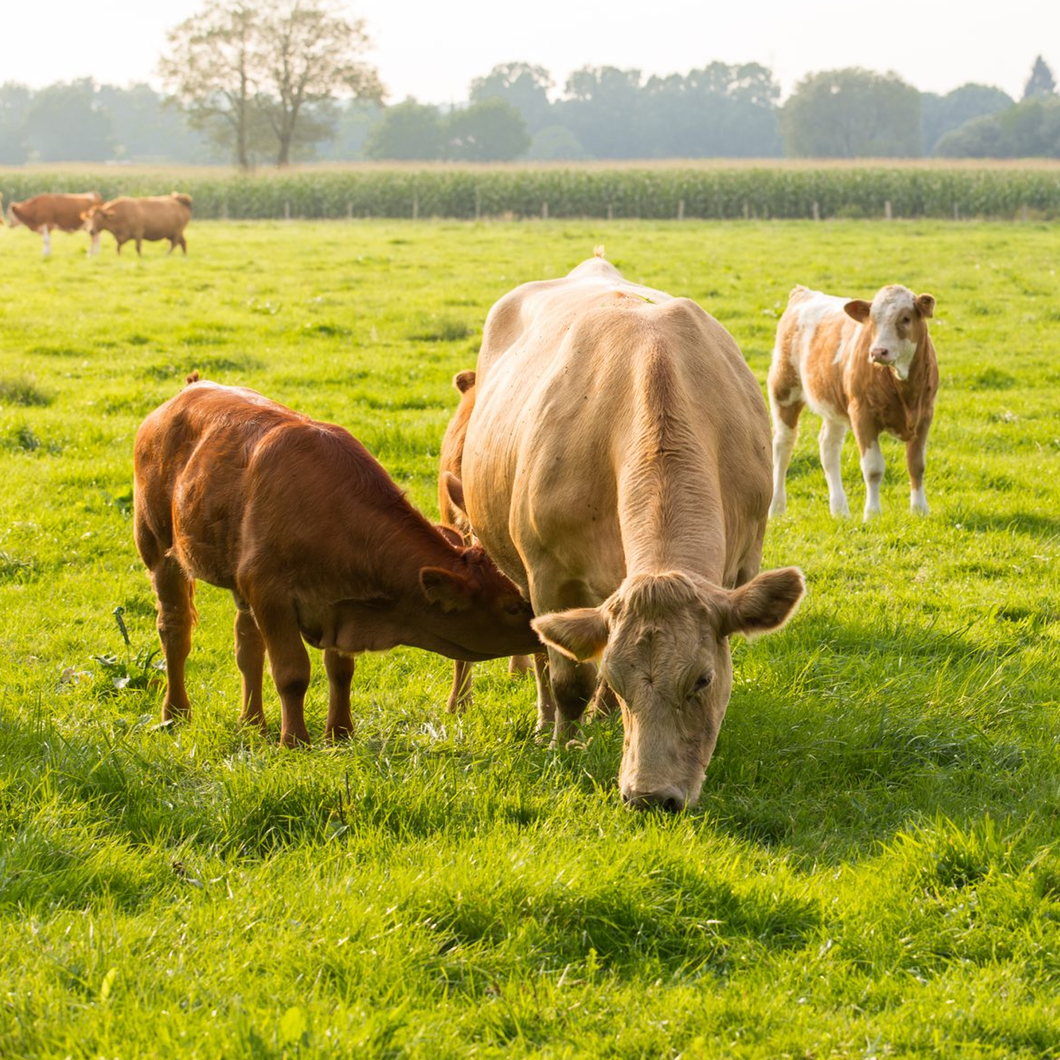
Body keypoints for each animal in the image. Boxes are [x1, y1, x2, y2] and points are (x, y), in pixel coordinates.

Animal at [133, 375, 542, 746]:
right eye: (511, 606)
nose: (541, 632)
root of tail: (189, 389)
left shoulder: (335, 600)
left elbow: (341, 669)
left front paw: (340, 733)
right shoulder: (271, 594)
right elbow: (292, 673)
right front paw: (294, 741)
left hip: (239, 580)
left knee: (247, 645)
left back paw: (253, 723)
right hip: (159, 551)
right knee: (175, 630)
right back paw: (175, 713)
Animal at [455, 254, 801, 809]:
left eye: (702, 680)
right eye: (622, 682)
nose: (650, 797)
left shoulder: (739, 567)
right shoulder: (550, 576)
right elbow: (570, 677)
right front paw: (563, 745)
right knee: (542, 657)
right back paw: (547, 723)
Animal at [767, 284, 941, 519]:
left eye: (905, 318)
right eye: (872, 321)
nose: (878, 351)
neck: (904, 388)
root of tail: (803, 293)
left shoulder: (924, 415)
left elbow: (917, 465)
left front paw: (919, 510)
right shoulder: (862, 414)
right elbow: (873, 468)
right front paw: (873, 514)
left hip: (833, 404)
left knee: (828, 448)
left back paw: (840, 510)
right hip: (784, 391)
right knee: (783, 446)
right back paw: (776, 508)